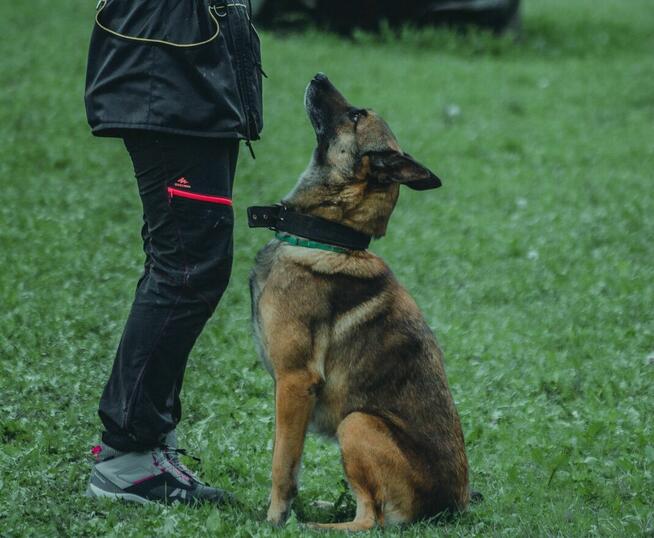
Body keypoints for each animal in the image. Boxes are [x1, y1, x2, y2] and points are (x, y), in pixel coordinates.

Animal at [249, 74, 468, 528]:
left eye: (354, 116)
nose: (318, 76)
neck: (329, 236)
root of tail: (454, 505)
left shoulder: (294, 381)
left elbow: (282, 463)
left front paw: (274, 519)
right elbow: (289, 458)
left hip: (357, 422)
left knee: (372, 519)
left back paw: (317, 526)